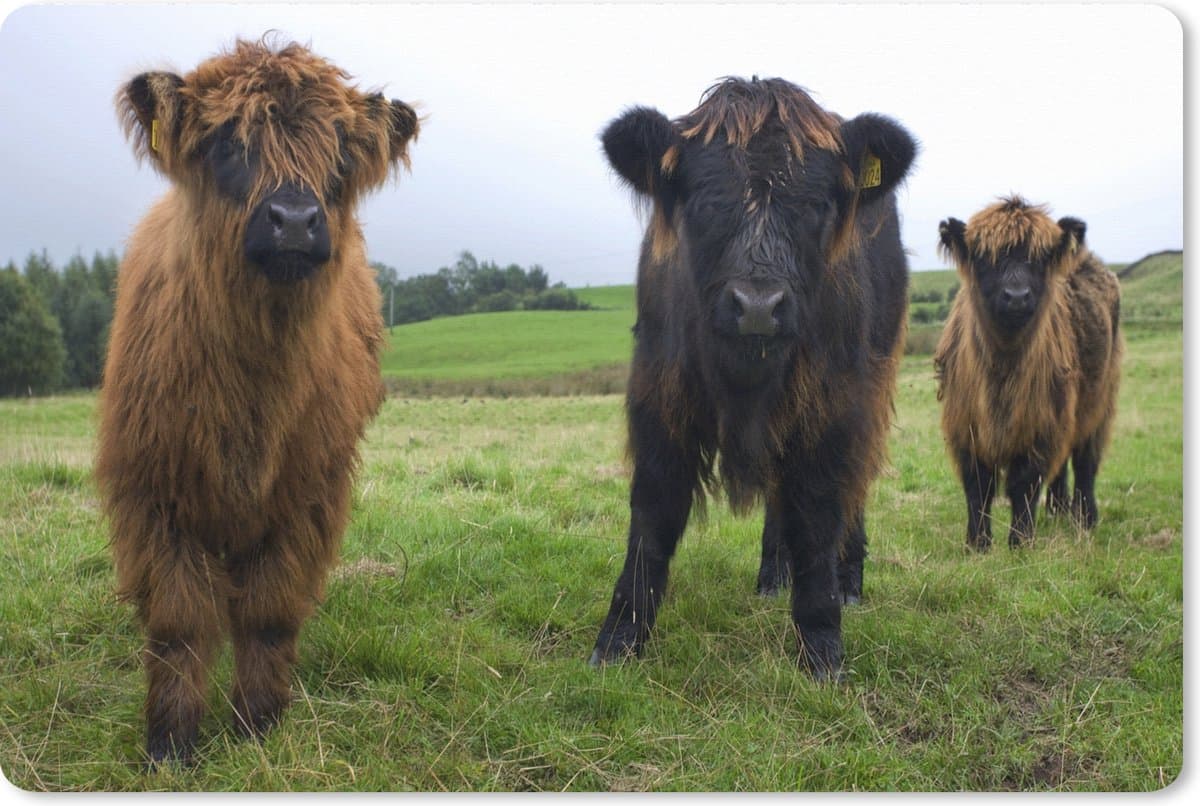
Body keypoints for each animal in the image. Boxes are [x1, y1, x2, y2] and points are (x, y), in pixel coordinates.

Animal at [95, 37, 419, 763]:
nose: (295, 221)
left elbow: (270, 611)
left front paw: (258, 725)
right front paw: (171, 742)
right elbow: (179, 620)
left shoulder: (306, 496)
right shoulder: (152, 492)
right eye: (227, 142)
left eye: (340, 152)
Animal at [589, 77, 917, 679]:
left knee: (852, 489)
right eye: (703, 200)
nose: (758, 306)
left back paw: (849, 581)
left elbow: (818, 515)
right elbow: (653, 515)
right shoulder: (659, 395)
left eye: (817, 204)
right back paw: (771, 574)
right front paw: (619, 640)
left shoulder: (833, 406)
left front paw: (822, 647)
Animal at [934, 196, 1122, 551]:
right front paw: (977, 543)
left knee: (1085, 459)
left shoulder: (1040, 424)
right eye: (985, 257)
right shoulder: (965, 425)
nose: (1017, 296)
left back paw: (1085, 518)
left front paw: (1020, 541)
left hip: (1100, 398)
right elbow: (978, 486)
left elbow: (1024, 483)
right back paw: (1058, 509)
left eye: (1040, 258)